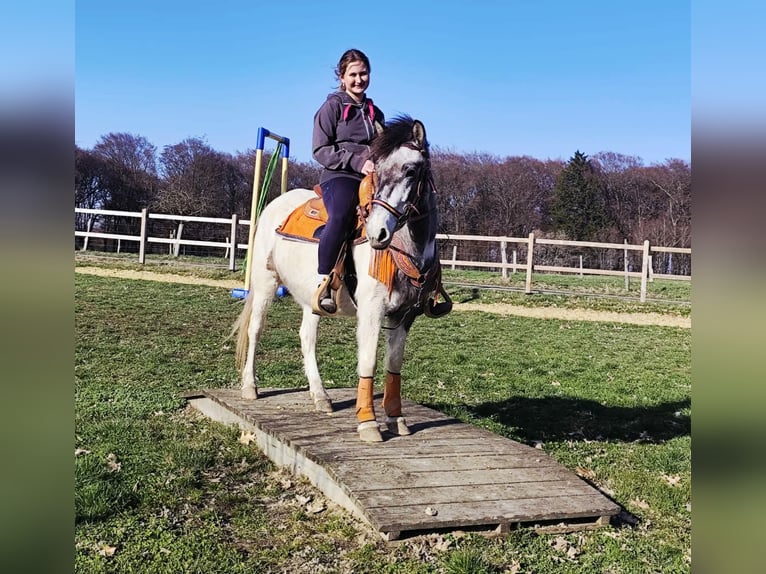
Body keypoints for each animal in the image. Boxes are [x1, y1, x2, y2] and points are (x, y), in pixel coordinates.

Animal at [233, 116, 448, 442]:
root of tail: (274, 205)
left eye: (411, 170)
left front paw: (396, 418)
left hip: (312, 299)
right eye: (376, 171)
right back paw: (250, 387)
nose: (377, 233)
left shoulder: (405, 315)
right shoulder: (372, 310)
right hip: (265, 284)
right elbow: (368, 360)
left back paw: (320, 396)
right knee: (255, 330)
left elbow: (393, 365)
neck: (405, 247)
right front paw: (368, 423)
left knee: (307, 337)